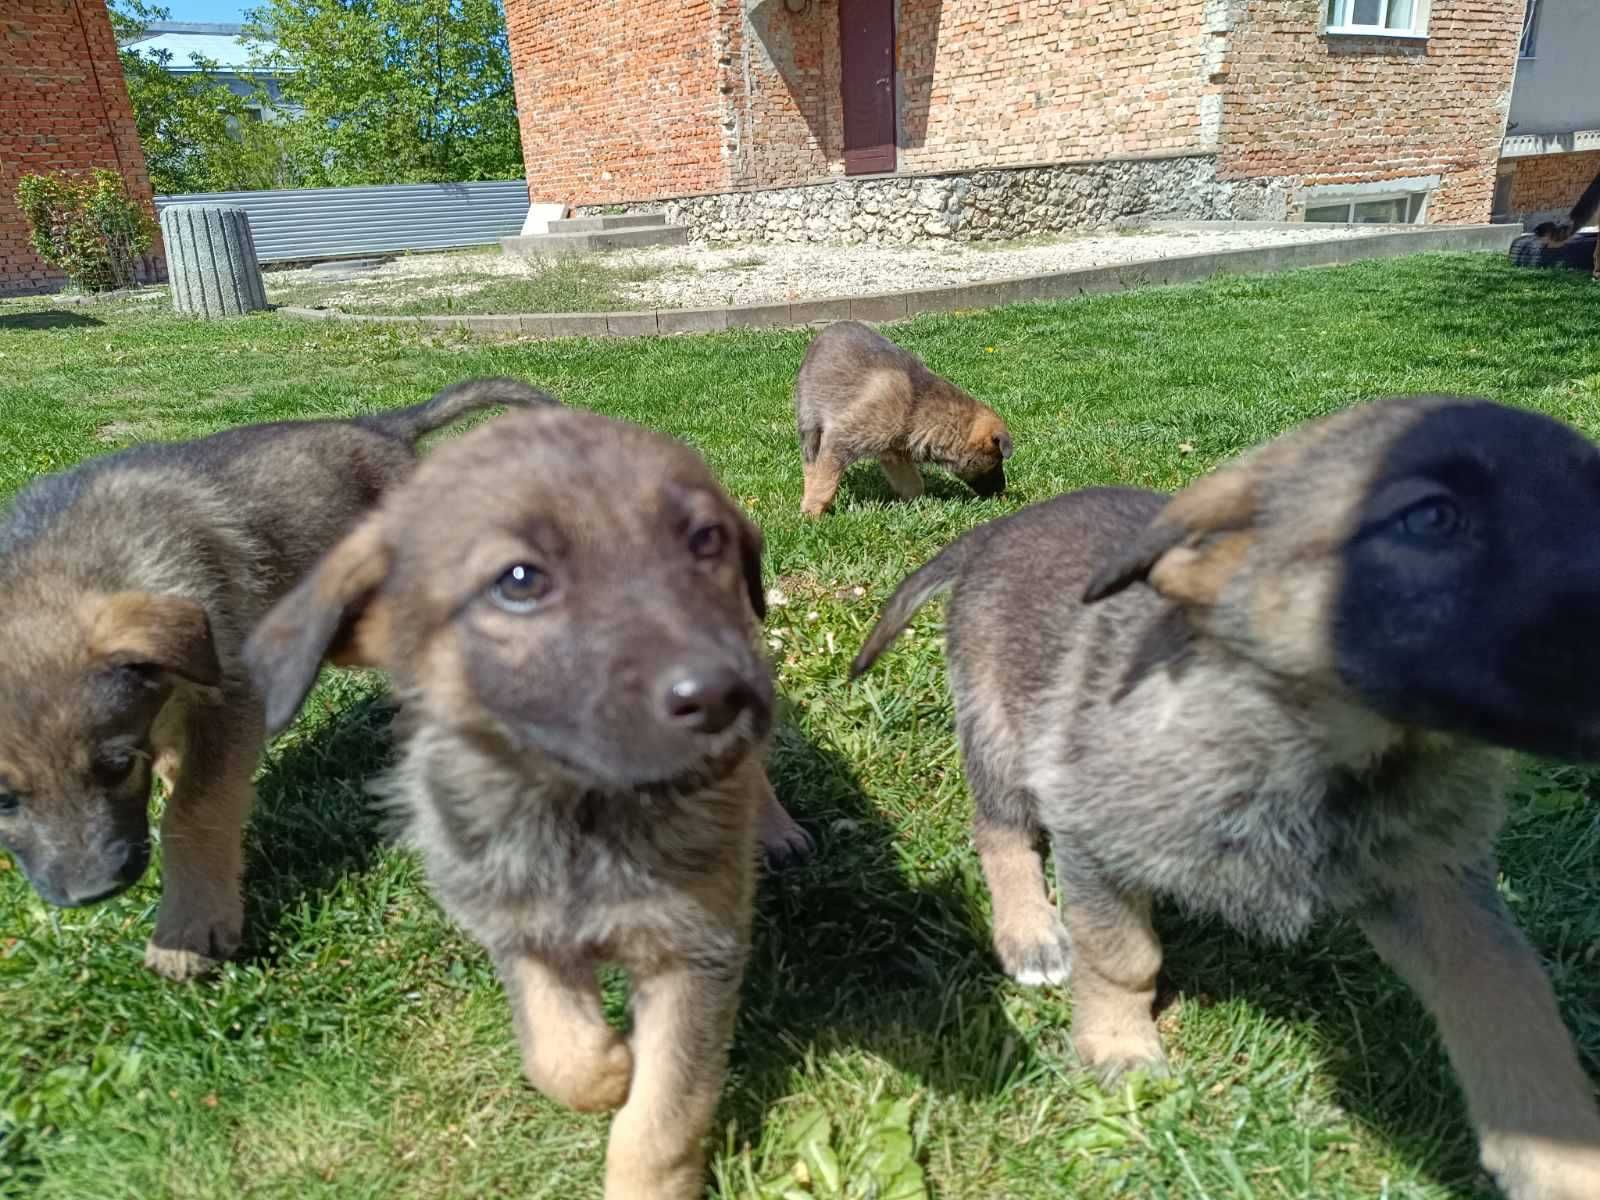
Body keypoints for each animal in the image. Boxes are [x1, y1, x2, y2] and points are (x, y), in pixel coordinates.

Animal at [0, 377, 556, 985]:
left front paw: (188, 929)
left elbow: (193, 809)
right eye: (1, 799)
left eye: (116, 765)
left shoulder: (232, 696)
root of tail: (381, 427)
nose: (92, 893)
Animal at [243, 406, 819, 1200]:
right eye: (519, 580)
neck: (579, 817)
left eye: (705, 539)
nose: (719, 694)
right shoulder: (514, 924)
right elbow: (557, 1051)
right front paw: (608, 1068)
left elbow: (661, 1119)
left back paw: (776, 828)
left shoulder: (693, 951)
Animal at [796, 320, 1017, 518]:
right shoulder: (841, 440)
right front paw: (812, 512)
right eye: (996, 462)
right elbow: (825, 481)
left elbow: (913, 483)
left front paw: (917, 506)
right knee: (810, 461)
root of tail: (826, 331)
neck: (916, 408)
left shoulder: (895, 452)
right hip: (809, 419)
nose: (1001, 489)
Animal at [857, 396, 1600, 1200]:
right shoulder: (1096, 839)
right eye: (1430, 518)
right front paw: (1117, 1048)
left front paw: (1559, 1151)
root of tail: (995, 531)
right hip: (1001, 737)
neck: (1327, 759)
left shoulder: (1436, 885)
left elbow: (1512, 995)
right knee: (1000, 833)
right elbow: (1122, 956)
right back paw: (1029, 933)